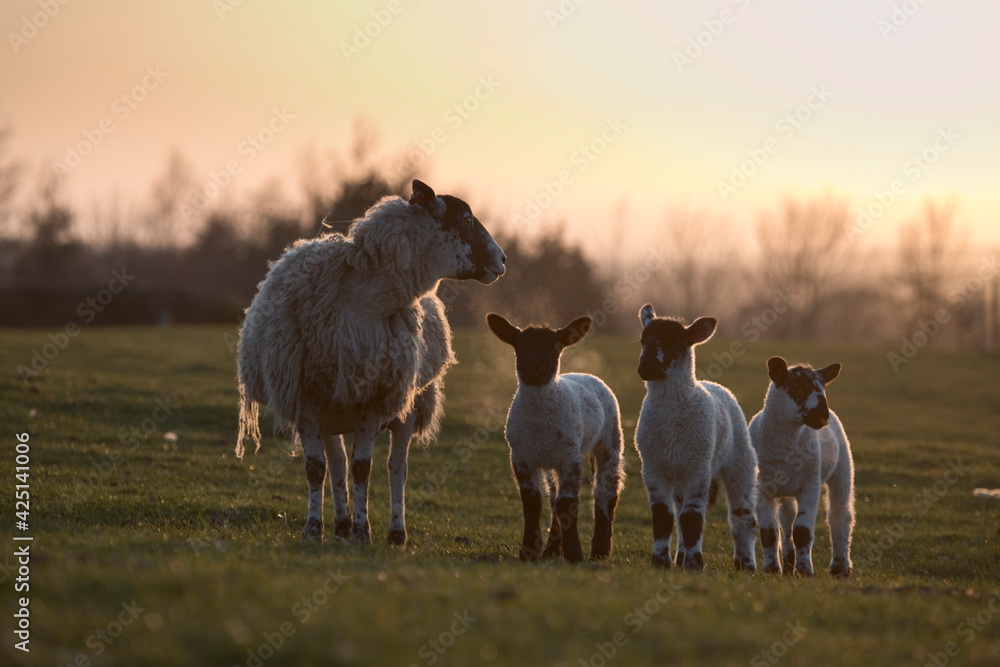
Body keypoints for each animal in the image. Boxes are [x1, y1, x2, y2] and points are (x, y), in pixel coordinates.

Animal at [236, 179, 506, 545]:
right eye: (465, 219)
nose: (502, 258)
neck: (365, 297)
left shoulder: (376, 398)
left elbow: (363, 468)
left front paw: (363, 533)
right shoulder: (306, 399)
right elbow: (316, 468)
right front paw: (313, 530)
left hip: (408, 404)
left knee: (397, 469)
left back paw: (395, 531)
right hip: (331, 409)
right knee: (336, 463)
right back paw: (340, 525)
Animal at [486, 312, 625, 563]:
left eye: (554, 348)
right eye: (520, 346)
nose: (536, 369)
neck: (540, 424)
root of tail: (583, 374)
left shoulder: (569, 459)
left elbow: (567, 503)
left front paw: (574, 554)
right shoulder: (521, 458)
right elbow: (533, 502)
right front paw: (529, 552)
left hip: (611, 439)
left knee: (606, 492)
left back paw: (600, 550)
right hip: (551, 460)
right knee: (552, 499)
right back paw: (551, 550)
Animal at [633, 304, 758, 571]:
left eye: (676, 343)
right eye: (643, 340)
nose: (646, 368)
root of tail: (712, 384)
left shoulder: (699, 469)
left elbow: (693, 518)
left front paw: (694, 564)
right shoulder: (653, 467)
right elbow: (663, 516)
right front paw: (660, 562)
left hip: (740, 459)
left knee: (742, 514)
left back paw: (746, 564)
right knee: (679, 513)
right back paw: (680, 556)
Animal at [749, 356, 854, 578]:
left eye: (823, 388)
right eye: (796, 387)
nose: (822, 415)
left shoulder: (810, 486)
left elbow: (802, 531)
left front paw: (805, 570)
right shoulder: (762, 489)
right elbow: (769, 532)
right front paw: (772, 569)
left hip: (842, 470)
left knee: (840, 516)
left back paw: (840, 567)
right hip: (788, 491)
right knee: (787, 521)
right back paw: (789, 564)